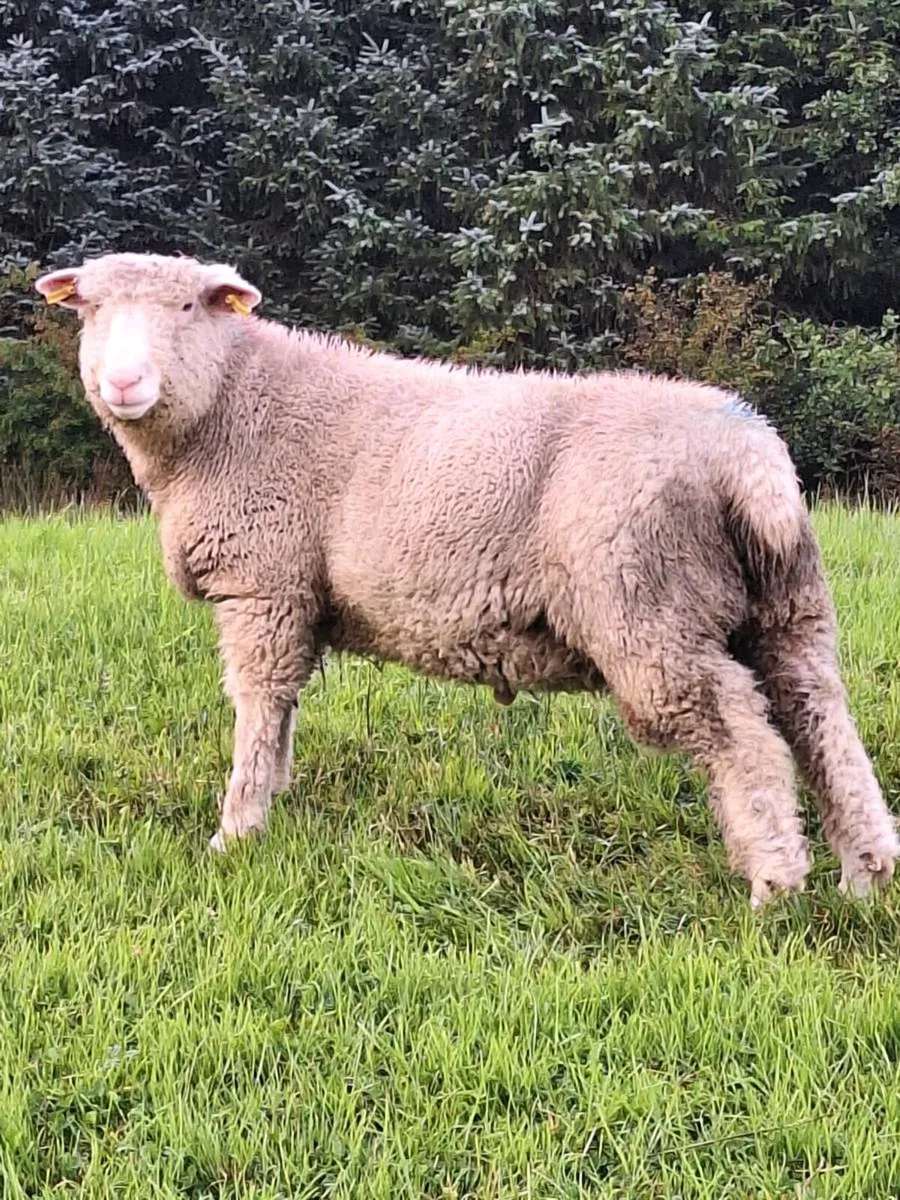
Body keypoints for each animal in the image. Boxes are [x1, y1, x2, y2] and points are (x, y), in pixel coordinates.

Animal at [34, 250, 899, 907]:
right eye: (90, 311)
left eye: (187, 305)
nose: (122, 383)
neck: (228, 409)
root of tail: (751, 460)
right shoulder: (289, 598)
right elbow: (281, 712)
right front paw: (272, 796)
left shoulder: (264, 583)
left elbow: (257, 704)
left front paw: (236, 832)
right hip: (784, 605)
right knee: (820, 718)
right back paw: (866, 874)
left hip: (647, 603)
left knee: (738, 734)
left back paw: (775, 886)